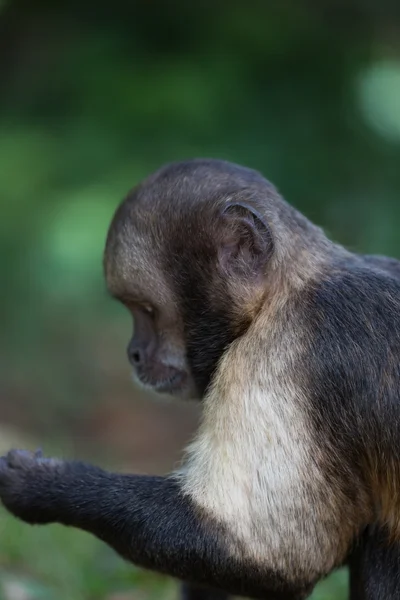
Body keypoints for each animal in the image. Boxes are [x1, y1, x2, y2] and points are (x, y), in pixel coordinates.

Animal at [0, 159, 400, 600]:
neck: (282, 294)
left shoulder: (283, 354)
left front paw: (45, 484)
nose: (133, 352)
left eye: (147, 311)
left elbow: (275, 557)